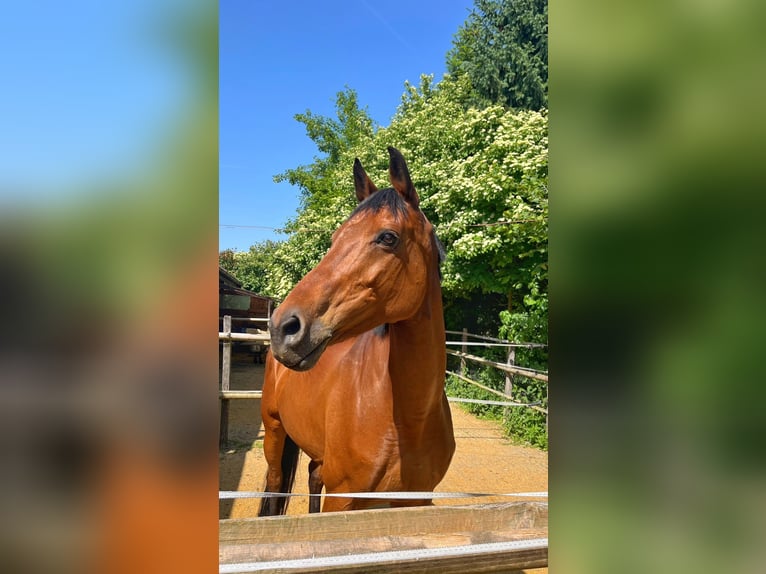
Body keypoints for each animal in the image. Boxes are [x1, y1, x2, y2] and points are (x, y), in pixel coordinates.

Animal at [259, 147, 455, 514]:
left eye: (388, 237)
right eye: (335, 239)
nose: (283, 327)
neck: (407, 422)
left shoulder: (417, 500)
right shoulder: (343, 500)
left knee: (313, 475)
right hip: (274, 431)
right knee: (276, 485)